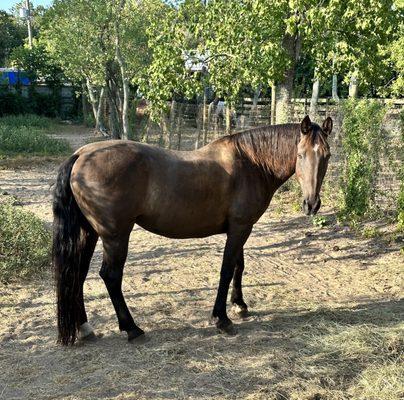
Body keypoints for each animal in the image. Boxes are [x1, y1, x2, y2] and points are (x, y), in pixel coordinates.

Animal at [52, 115, 332, 344]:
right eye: (300, 155)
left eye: (326, 156)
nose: (311, 204)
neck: (251, 163)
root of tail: (81, 156)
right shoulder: (240, 228)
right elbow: (227, 269)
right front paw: (222, 319)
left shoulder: (241, 227)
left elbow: (238, 267)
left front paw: (239, 305)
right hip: (115, 236)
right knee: (110, 276)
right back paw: (132, 329)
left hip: (90, 234)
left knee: (77, 274)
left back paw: (84, 328)